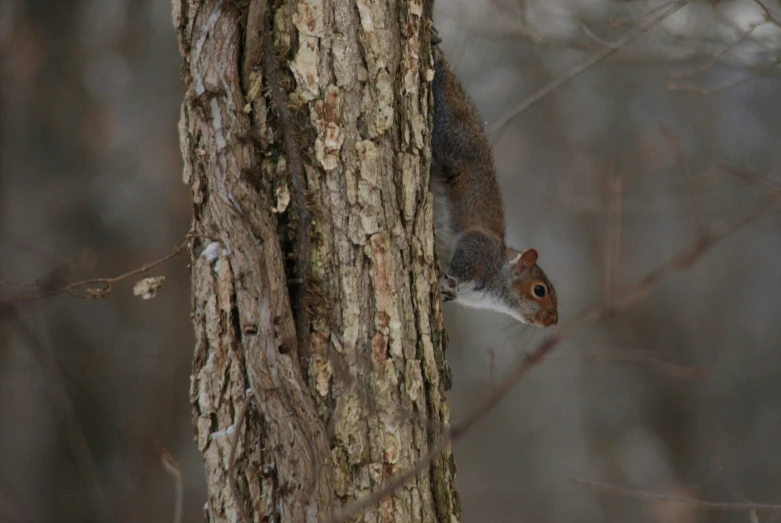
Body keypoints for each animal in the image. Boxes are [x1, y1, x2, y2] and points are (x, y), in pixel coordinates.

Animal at [430, 29, 556, 328]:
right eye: (539, 290)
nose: (552, 321)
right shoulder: (476, 250)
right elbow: (462, 262)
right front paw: (452, 280)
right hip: (451, 138)